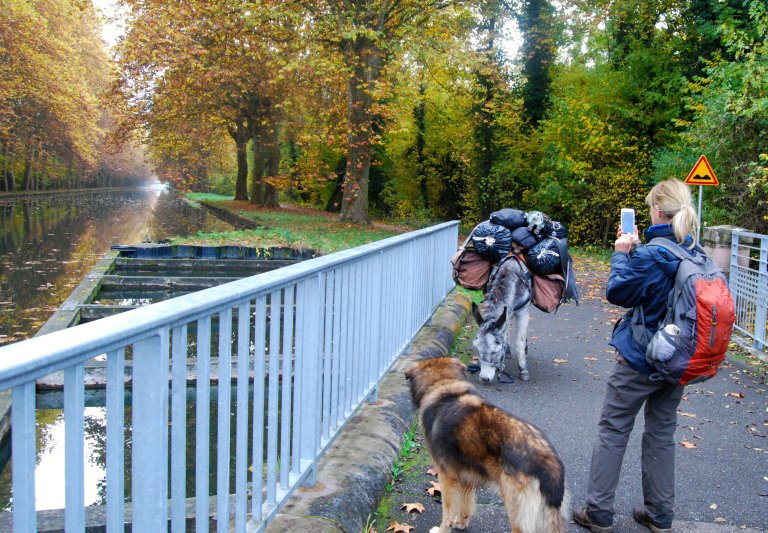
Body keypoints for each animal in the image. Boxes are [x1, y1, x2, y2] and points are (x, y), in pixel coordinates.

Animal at [404, 354, 568, 532]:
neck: (445, 385)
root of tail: (550, 464)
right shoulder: (466, 476)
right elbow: (466, 504)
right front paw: (461, 523)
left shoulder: (447, 476)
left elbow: (447, 512)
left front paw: (441, 530)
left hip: (516, 509)